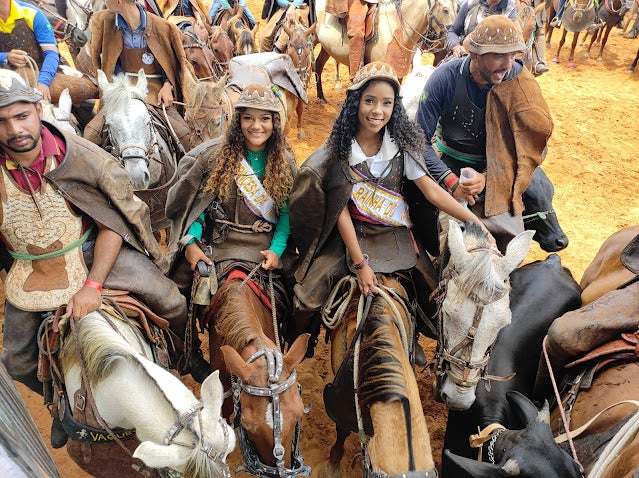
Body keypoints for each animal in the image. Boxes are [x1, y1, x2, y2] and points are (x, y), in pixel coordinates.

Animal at [313, 0, 457, 103]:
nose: (450, 39)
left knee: (318, 65)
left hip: (326, 48)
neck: (395, 29)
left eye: (457, 9)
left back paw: (321, 97)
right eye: (445, 10)